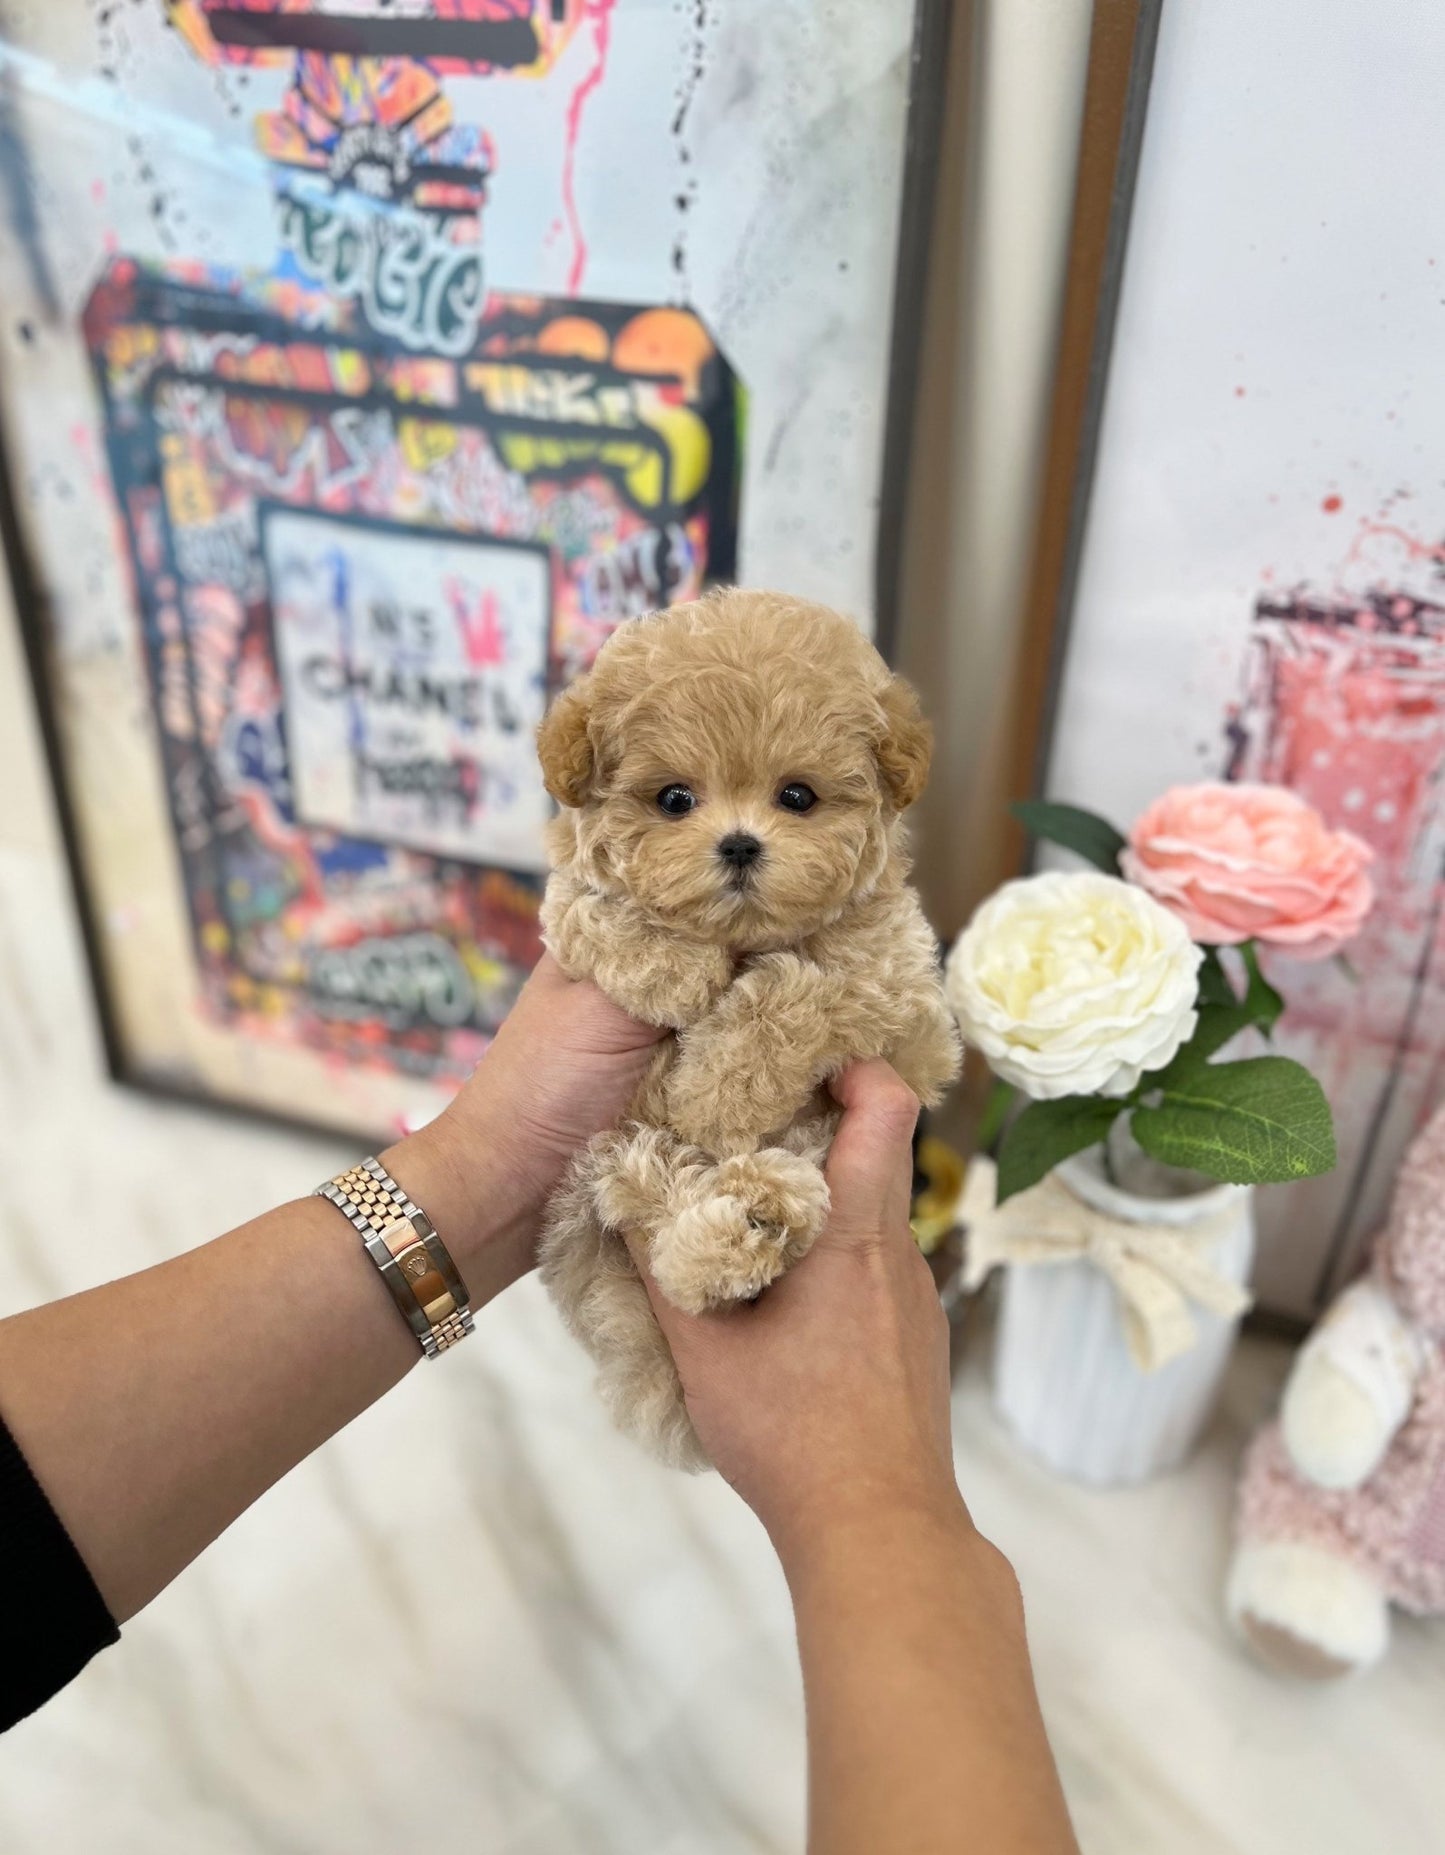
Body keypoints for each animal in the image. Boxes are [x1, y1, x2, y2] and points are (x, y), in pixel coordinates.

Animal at [534, 586, 957, 1469]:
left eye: (797, 796)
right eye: (673, 799)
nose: (737, 844)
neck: (743, 935)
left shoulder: (903, 1002)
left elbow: (803, 991)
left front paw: (713, 1093)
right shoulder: (567, 920)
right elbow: (595, 910)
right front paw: (675, 963)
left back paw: (761, 1213)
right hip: (594, 1176)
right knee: (650, 1199)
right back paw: (731, 1231)